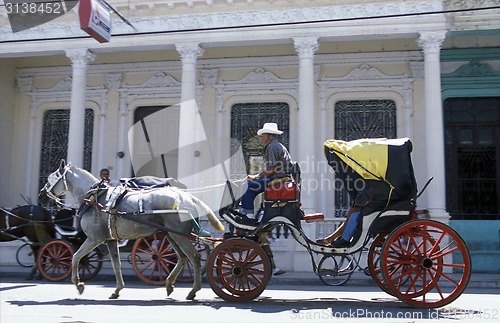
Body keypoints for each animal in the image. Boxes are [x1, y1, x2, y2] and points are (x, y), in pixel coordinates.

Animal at [39, 162, 225, 302]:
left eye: (51, 177)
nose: (41, 195)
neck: (96, 199)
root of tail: (187, 196)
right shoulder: (110, 239)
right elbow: (116, 264)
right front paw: (117, 290)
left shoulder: (94, 238)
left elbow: (75, 256)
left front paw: (78, 284)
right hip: (170, 234)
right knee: (182, 257)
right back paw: (170, 284)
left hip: (178, 235)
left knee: (194, 256)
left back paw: (193, 290)